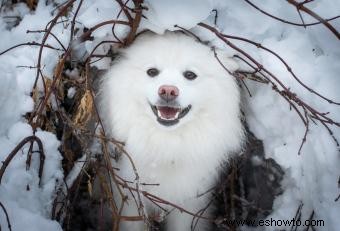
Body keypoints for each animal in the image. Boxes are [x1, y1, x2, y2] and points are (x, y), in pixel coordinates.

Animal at [99, 31, 243, 230]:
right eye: (152, 72)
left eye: (190, 75)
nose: (168, 90)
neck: (166, 146)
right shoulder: (130, 199)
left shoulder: (189, 203)